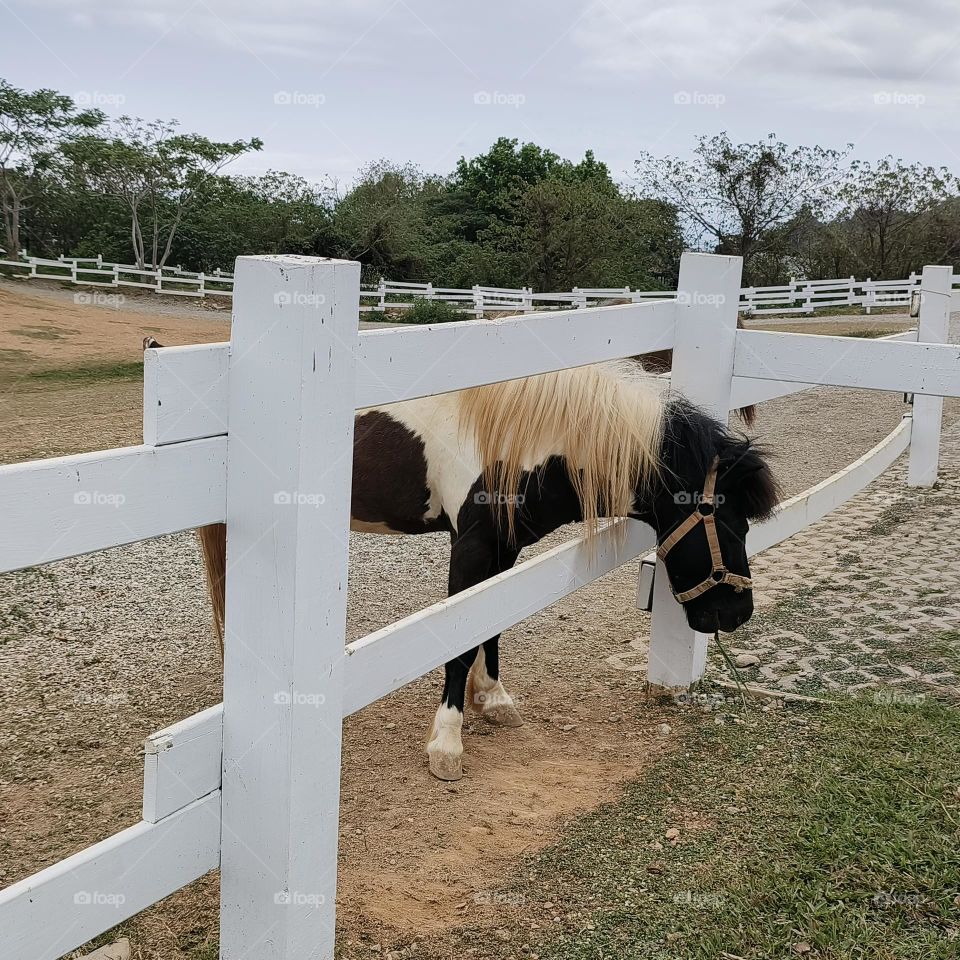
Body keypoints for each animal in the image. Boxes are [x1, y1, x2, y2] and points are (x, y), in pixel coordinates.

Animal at [197, 360, 778, 781]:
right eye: (729, 523)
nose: (738, 612)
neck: (523, 440)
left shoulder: (505, 549)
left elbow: (490, 626)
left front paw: (493, 699)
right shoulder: (471, 547)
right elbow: (458, 643)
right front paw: (447, 744)